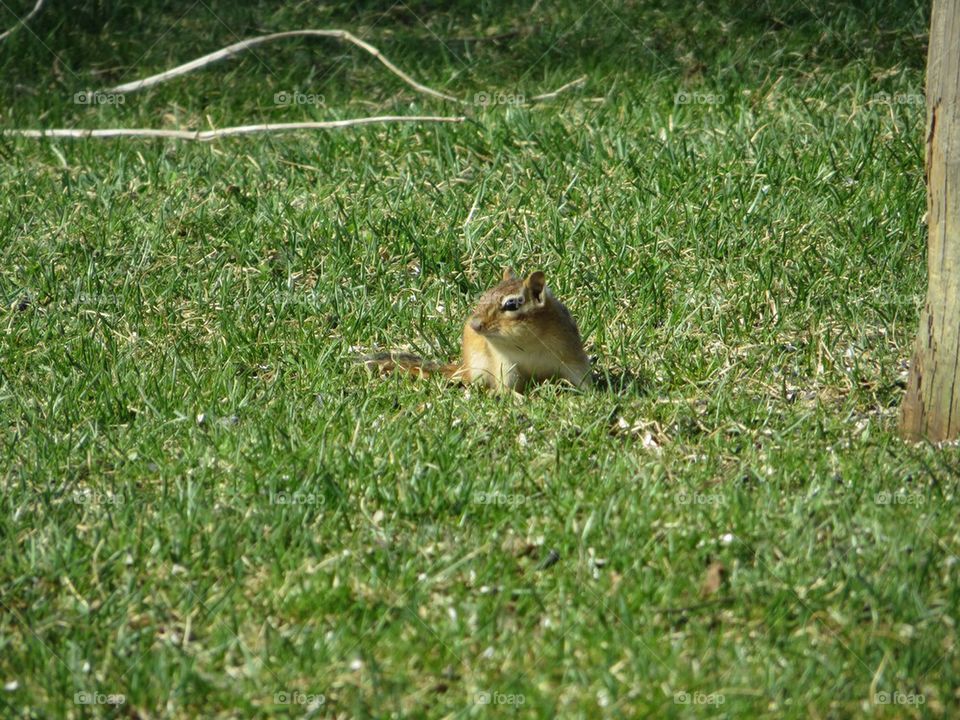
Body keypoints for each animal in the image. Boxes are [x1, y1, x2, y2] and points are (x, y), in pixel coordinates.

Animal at [363, 268, 592, 392]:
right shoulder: (505, 364)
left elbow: (581, 378)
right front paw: (516, 398)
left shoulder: (570, 356)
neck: (529, 343)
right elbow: (506, 388)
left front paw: (593, 394)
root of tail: (463, 367)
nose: (474, 325)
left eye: (511, 305)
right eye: (483, 296)